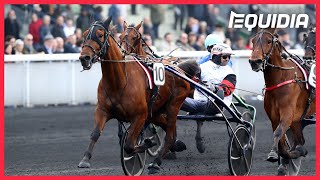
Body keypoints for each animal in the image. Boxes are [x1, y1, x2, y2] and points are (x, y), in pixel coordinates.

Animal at [77, 18, 200, 174]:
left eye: (99, 35)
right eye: (85, 34)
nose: (84, 58)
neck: (120, 81)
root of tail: (179, 69)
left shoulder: (140, 116)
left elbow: (129, 145)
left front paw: (147, 144)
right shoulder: (102, 110)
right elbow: (95, 133)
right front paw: (85, 159)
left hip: (173, 105)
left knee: (170, 135)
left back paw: (156, 162)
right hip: (156, 111)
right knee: (167, 128)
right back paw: (175, 147)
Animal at [248, 28, 316, 174]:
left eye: (269, 41)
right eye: (253, 41)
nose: (254, 61)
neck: (280, 79)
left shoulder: (287, 114)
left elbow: (279, 133)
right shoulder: (276, 117)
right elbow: (282, 141)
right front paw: (284, 158)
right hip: (297, 121)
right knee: (299, 139)